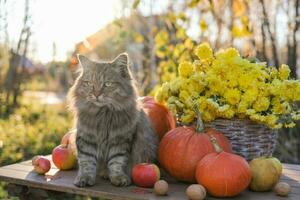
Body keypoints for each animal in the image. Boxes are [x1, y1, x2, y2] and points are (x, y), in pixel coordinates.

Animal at [67, 52, 158, 187]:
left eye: (107, 84)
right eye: (89, 83)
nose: (96, 94)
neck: (104, 114)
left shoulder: (121, 139)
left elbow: (117, 161)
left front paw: (118, 178)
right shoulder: (86, 137)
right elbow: (87, 161)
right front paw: (84, 178)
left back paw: (106, 173)